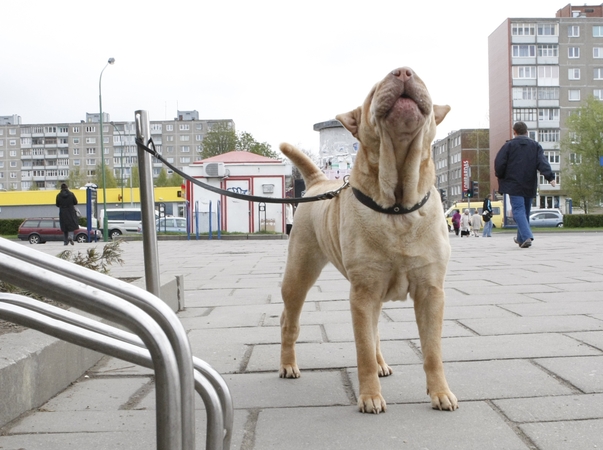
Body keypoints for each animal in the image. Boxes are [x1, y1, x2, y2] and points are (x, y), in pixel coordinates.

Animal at [280, 67, 460, 414]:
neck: (398, 205)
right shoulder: (363, 292)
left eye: (419, 77)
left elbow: (432, 350)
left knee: (375, 330)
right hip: (299, 272)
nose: (403, 71)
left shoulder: (431, 291)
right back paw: (288, 364)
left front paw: (441, 392)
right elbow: (362, 348)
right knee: (289, 319)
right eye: (374, 90)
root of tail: (319, 182)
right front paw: (370, 397)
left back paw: (381, 364)